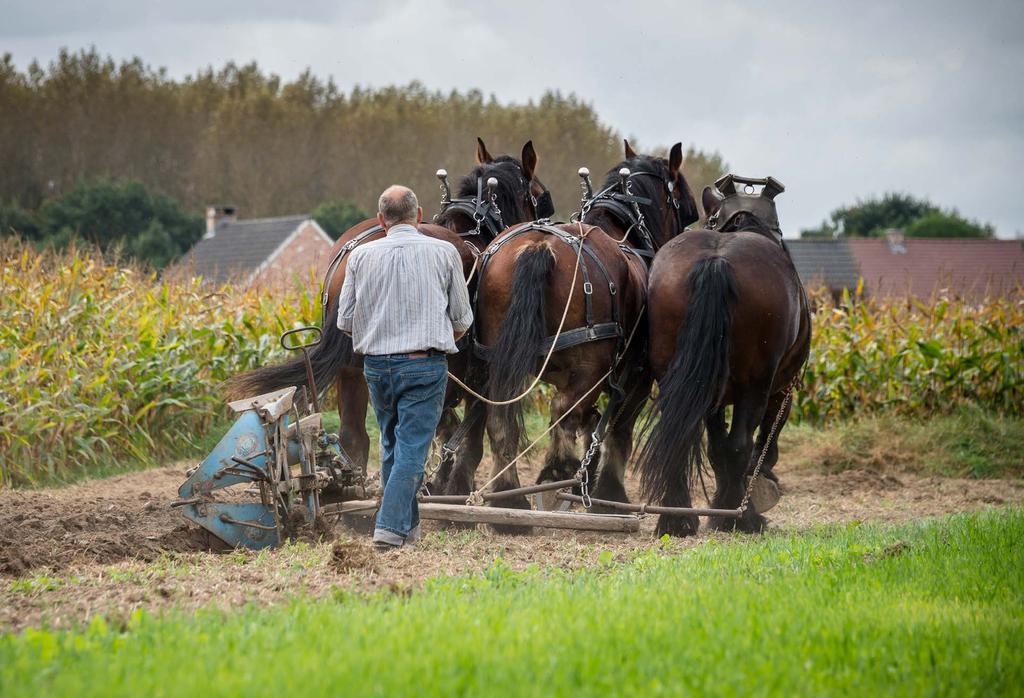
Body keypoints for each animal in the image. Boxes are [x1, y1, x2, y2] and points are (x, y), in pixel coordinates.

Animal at [229, 137, 557, 478]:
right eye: (540, 197)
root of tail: (354, 257)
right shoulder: (478, 379)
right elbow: (469, 445)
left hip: (352, 370)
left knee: (356, 438)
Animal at [444, 140, 700, 511]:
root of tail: (538, 246)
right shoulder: (637, 378)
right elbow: (617, 431)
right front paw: (608, 492)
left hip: (497, 361)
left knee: (501, 421)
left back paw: (510, 499)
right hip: (589, 367)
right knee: (562, 414)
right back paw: (555, 480)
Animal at [634, 173, 811, 532]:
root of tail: (716, 261)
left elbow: (716, 447)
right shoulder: (781, 388)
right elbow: (762, 439)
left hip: (680, 377)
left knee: (682, 435)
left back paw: (676, 518)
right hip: (756, 384)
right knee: (742, 443)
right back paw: (743, 516)